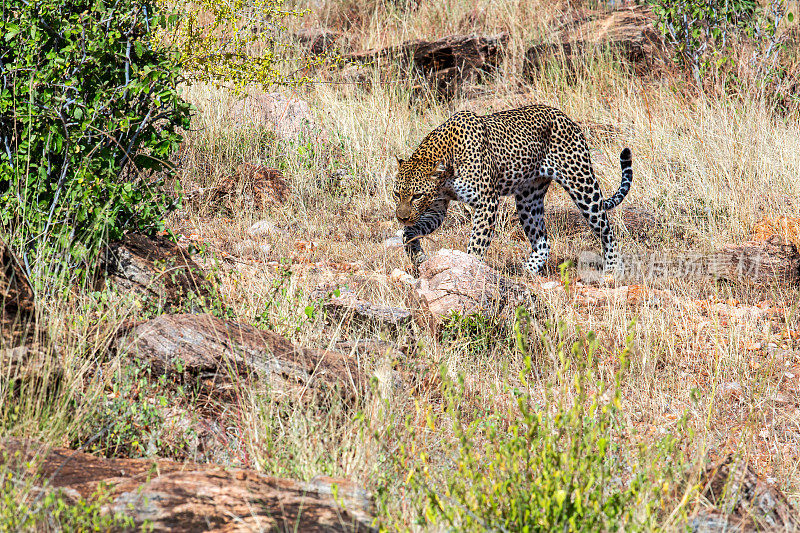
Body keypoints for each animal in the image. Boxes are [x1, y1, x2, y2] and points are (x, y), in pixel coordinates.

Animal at [392, 105, 632, 276]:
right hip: (528, 199)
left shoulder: (486, 202)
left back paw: (612, 269)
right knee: (542, 242)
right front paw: (417, 256)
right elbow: (409, 233)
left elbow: (477, 243)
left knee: (606, 230)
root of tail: (566, 117)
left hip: (582, 185)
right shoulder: (437, 208)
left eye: (417, 196)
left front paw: (469, 268)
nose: (402, 218)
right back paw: (526, 272)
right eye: (396, 194)